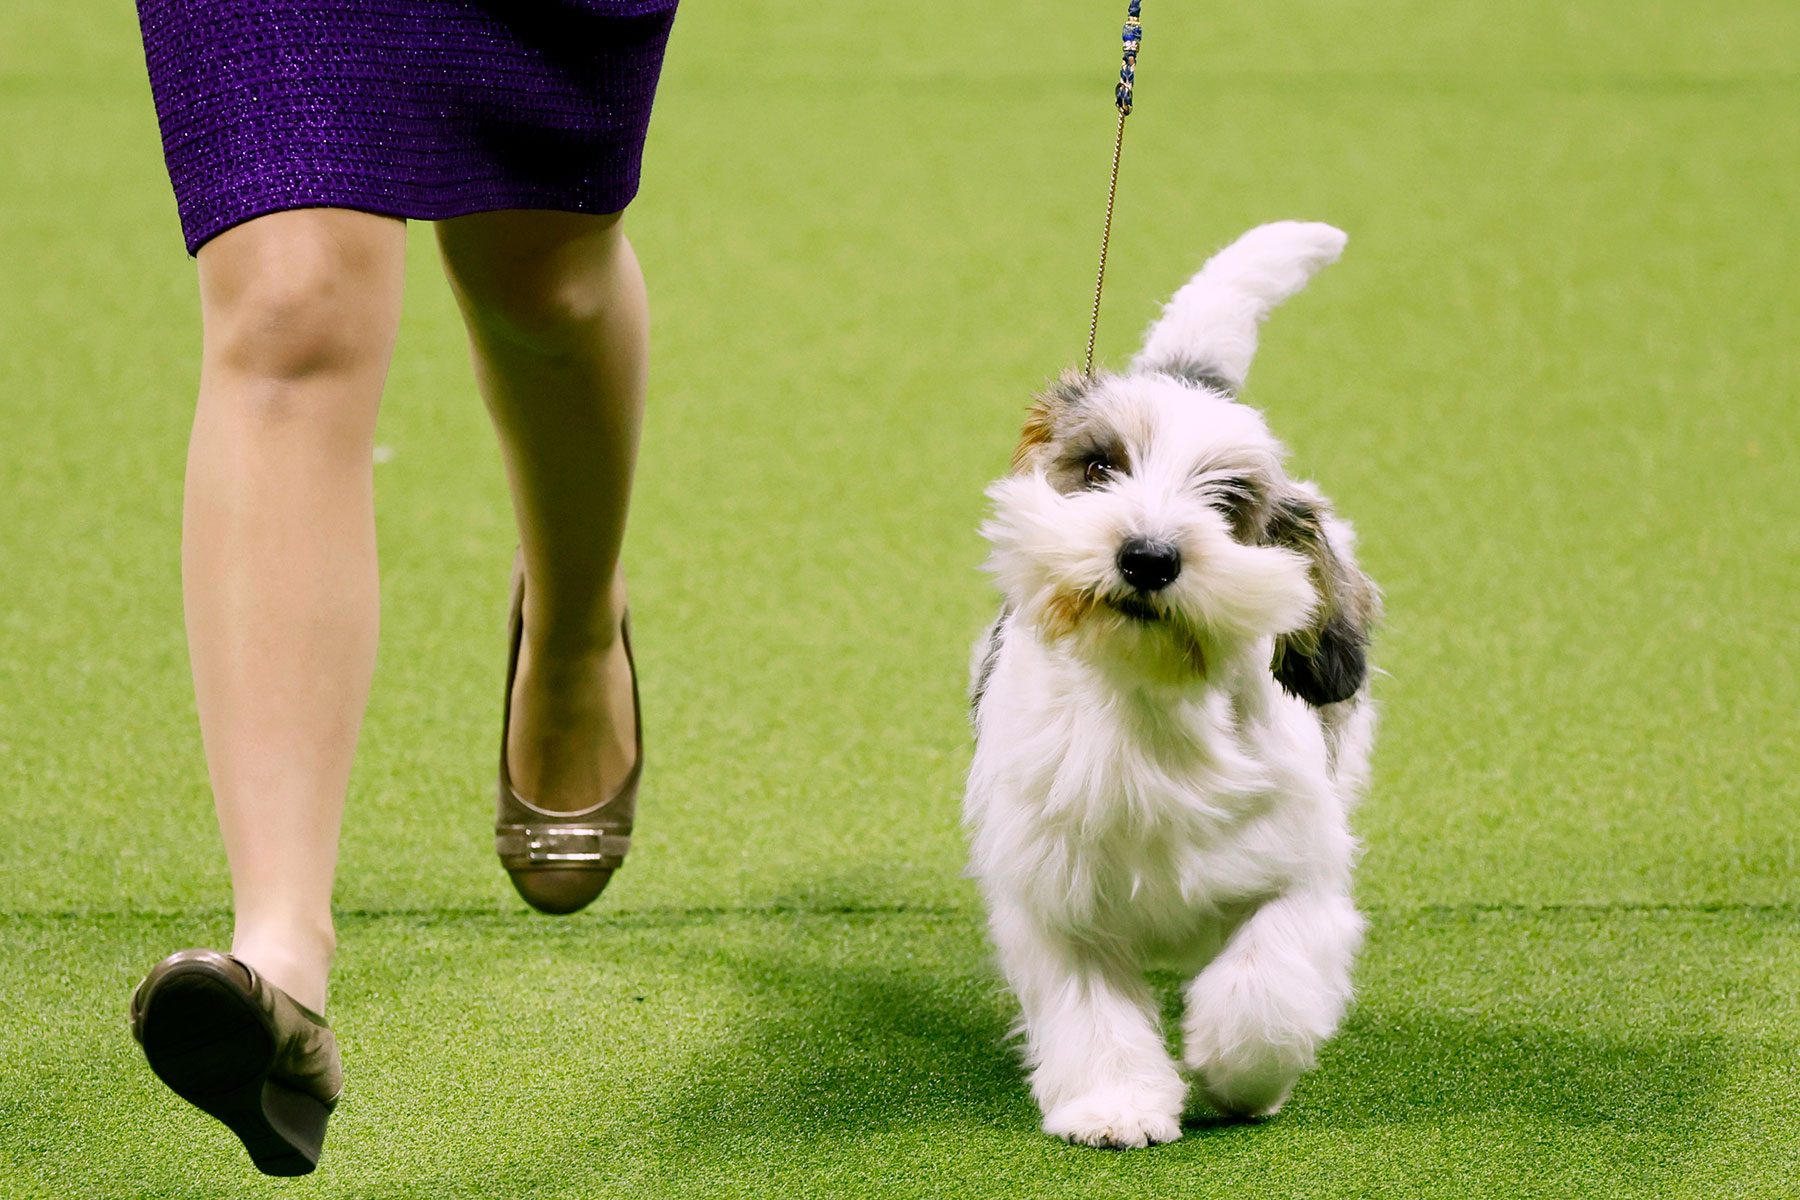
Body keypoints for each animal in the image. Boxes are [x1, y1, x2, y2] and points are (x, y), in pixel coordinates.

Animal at [972, 220, 1375, 1151]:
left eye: (1228, 503)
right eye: (1100, 467)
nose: (1148, 557)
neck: (1146, 708)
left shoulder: (1302, 875)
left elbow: (1266, 983)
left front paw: (1239, 1071)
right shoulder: (1052, 899)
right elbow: (1092, 1015)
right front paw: (1115, 1106)